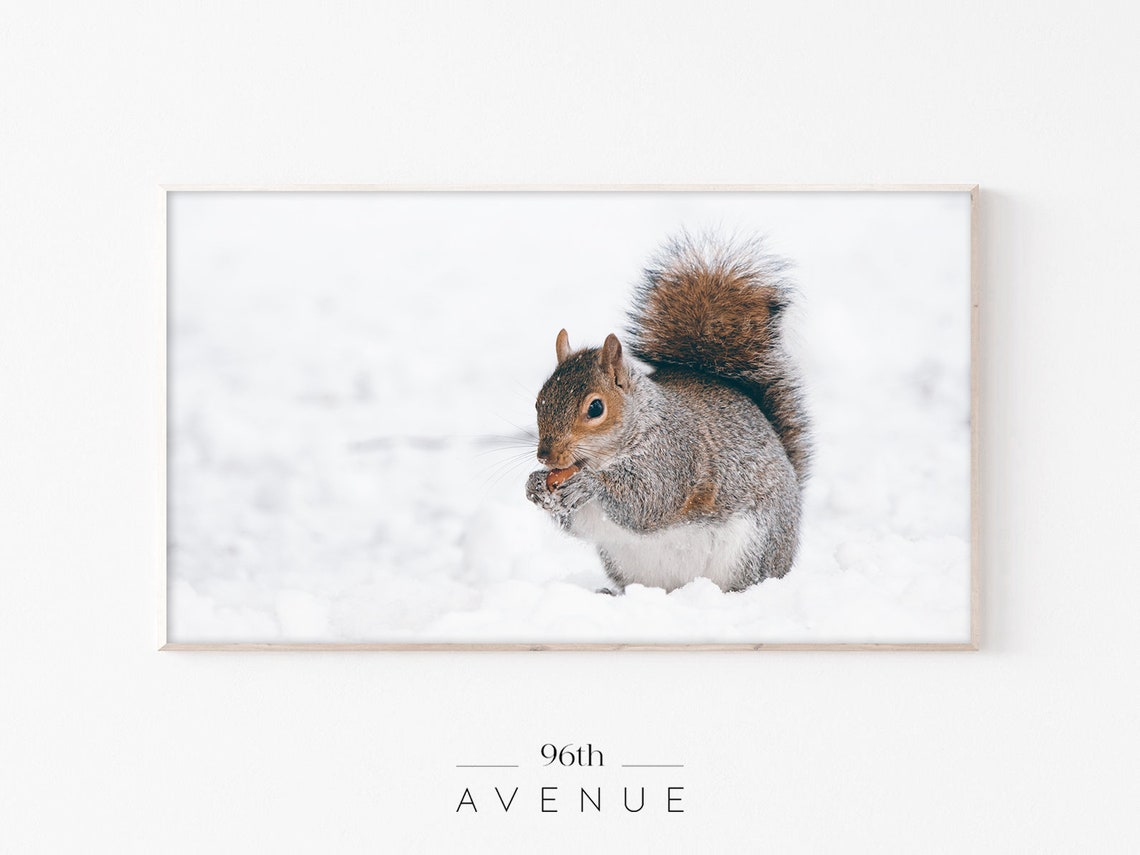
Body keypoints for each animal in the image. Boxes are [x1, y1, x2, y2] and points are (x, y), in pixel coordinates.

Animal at [525, 231, 811, 594]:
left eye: (595, 408)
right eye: (538, 401)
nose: (546, 456)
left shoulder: (674, 455)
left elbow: (649, 498)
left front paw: (590, 484)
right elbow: (579, 523)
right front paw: (534, 485)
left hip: (753, 548)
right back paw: (612, 594)